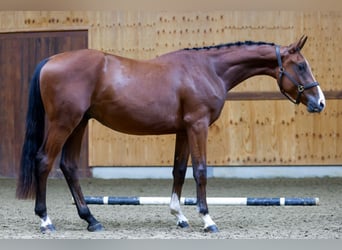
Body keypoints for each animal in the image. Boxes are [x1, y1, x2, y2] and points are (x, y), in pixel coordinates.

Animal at [16, 36, 326, 233]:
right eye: (301, 66)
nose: (320, 102)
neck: (208, 69)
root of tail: (51, 60)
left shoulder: (183, 130)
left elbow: (179, 170)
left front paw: (179, 216)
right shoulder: (198, 125)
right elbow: (200, 171)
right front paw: (207, 220)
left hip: (79, 124)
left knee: (68, 167)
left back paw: (91, 219)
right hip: (64, 123)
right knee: (44, 162)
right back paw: (46, 221)